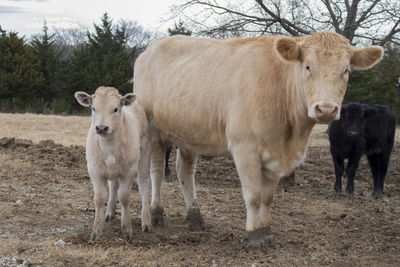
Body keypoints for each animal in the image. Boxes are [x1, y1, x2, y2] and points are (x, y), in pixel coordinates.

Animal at [133, 32, 382, 250]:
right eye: (308, 66)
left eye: (346, 71)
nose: (327, 109)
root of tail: (152, 46)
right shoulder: (245, 148)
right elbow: (253, 195)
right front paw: (253, 236)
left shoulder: (276, 156)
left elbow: (268, 197)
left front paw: (266, 232)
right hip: (154, 131)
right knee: (156, 172)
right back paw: (156, 213)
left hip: (189, 133)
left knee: (184, 172)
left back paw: (195, 217)